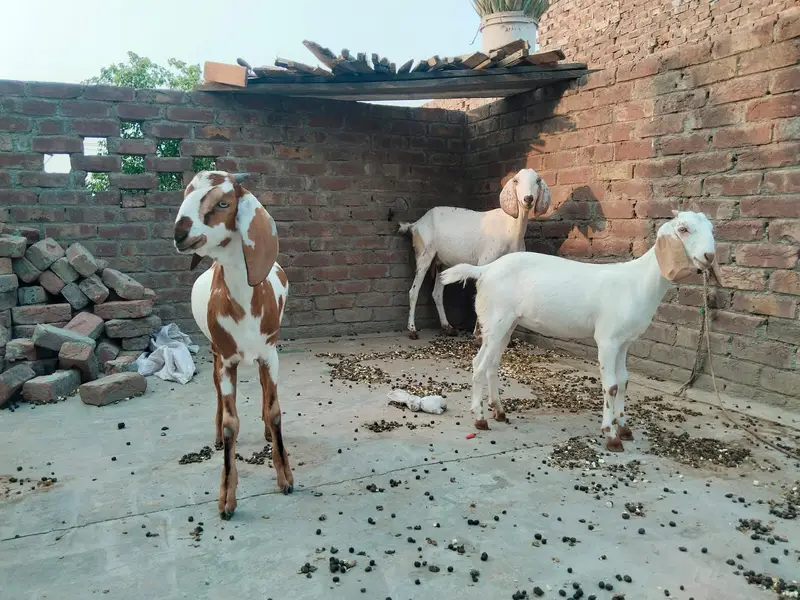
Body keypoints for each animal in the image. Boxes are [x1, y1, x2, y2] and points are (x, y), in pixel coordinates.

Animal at [173, 170, 292, 520]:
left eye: (223, 203)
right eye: (185, 194)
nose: (180, 233)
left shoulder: (271, 353)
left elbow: (275, 410)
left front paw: (286, 478)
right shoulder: (226, 359)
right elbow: (230, 424)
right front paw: (226, 498)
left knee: (265, 389)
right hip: (216, 355)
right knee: (216, 393)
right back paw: (214, 438)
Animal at [398, 168, 551, 342]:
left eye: (538, 180)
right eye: (516, 181)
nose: (528, 198)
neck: (509, 227)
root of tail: (415, 224)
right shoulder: (485, 261)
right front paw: (478, 335)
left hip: (442, 263)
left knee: (436, 293)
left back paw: (447, 327)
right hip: (424, 254)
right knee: (413, 291)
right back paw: (412, 330)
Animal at [440, 210, 721, 452]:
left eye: (712, 229)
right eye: (683, 229)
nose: (709, 256)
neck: (638, 283)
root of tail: (485, 270)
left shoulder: (625, 342)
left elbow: (624, 380)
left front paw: (624, 427)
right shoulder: (607, 339)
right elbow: (611, 386)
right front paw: (610, 435)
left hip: (507, 324)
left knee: (492, 364)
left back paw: (498, 411)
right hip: (496, 319)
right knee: (478, 365)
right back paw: (480, 418)